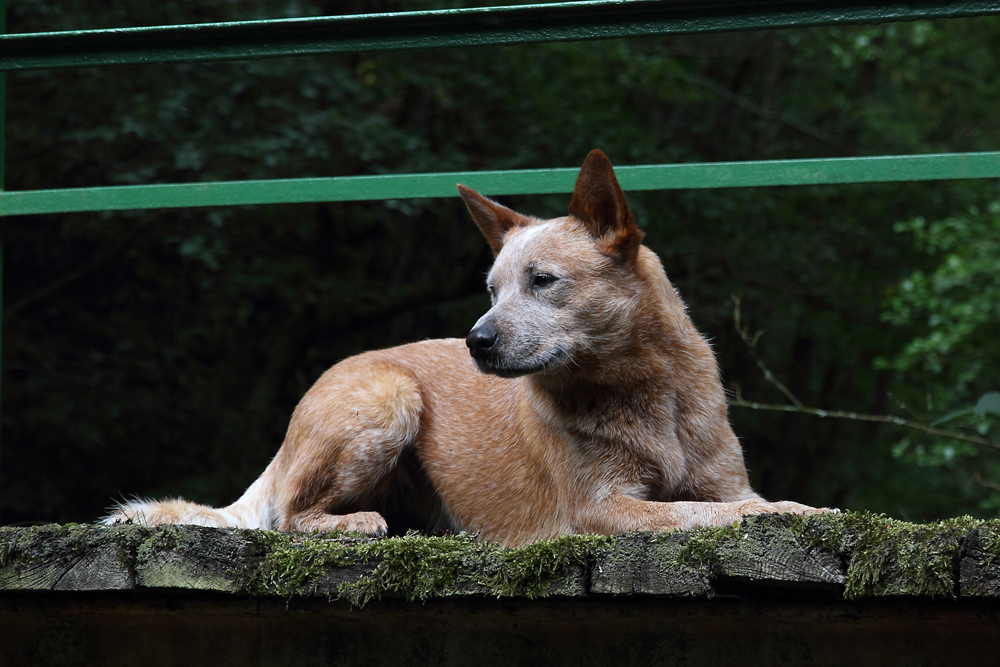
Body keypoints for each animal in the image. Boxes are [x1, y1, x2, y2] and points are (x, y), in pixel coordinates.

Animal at [105, 151, 824, 548]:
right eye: (491, 288)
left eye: (542, 280)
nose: (476, 340)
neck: (646, 395)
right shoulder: (601, 506)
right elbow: (713, 511)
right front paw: (799, 510)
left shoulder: (724, 478)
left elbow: (729, 499)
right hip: (387, 396)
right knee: (288, 514)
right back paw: (354, 522)